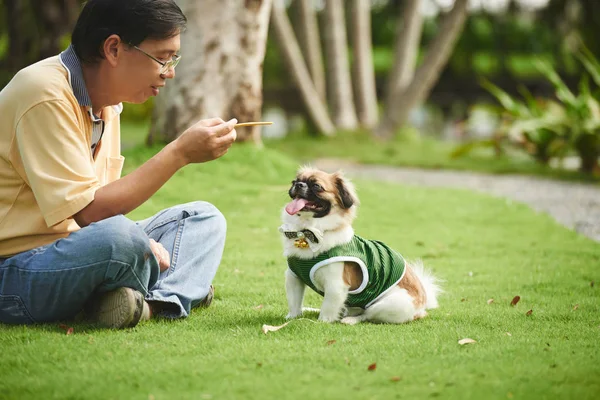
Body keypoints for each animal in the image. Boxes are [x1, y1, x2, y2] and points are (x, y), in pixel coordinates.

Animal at [278, 166, 440, 324]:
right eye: (295, 181)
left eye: (316, 186)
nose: (299, 185)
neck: (307, 231)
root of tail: (422, 307)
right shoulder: (293, 278)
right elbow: (294, 302)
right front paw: (292, 318)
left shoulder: (335, 286)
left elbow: (327, 309)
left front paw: (322, 322)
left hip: (390, 304)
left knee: (366, 315)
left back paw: (349, 320)